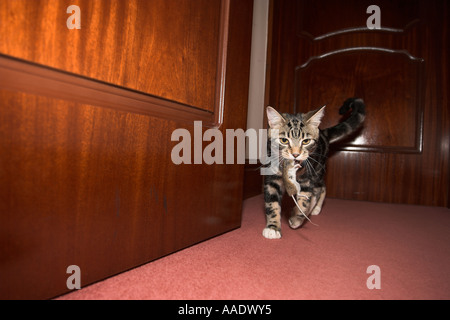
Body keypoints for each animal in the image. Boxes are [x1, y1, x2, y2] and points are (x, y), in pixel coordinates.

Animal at [264, 99, 366, 239]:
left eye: (306, 141)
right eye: (284, 140)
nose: (295, 154)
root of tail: (323, 133)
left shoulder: (307, 178)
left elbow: (304, 200)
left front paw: (296, 218)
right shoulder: (272, 178)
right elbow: (272, 202)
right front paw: (272, 228)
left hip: (318, 168)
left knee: (319, 188)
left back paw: (314, 208)